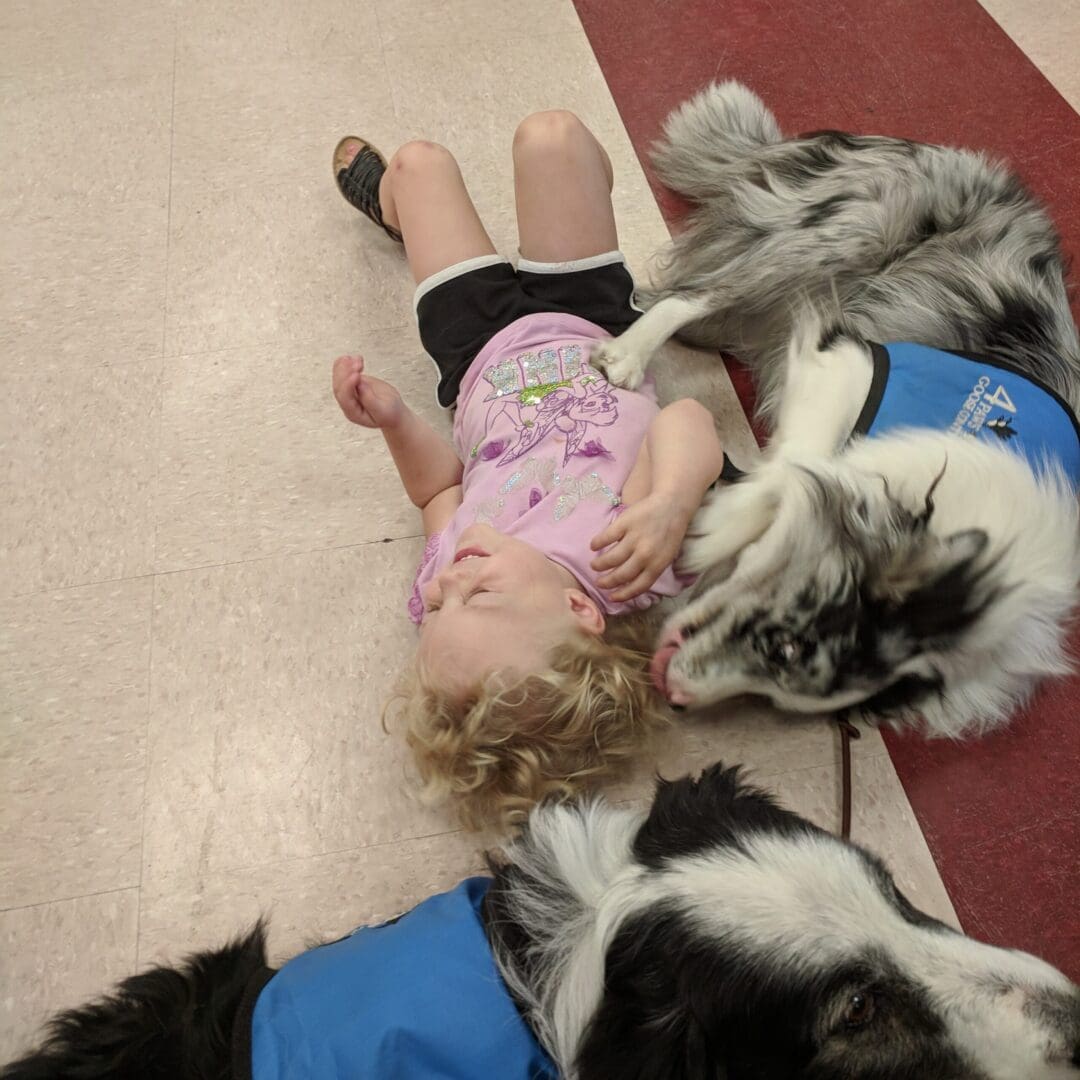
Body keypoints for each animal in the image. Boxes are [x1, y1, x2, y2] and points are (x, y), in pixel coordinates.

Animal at [600, 82, 1080, 734]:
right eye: (787, 647)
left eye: (779, 696)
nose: (674, 695)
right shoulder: (854, 361)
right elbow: (803, 467)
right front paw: (710, 530)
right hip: (833, 239)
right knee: (683, 295)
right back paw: (627, 355)